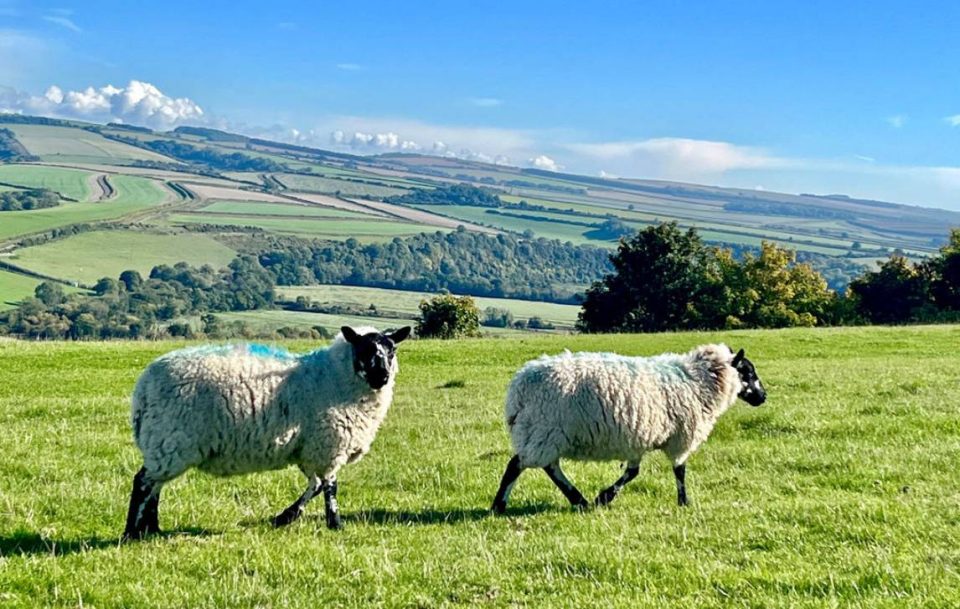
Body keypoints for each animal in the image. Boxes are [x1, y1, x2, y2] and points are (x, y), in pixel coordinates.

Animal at [123, 325, 411, 539]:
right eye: (364, 349)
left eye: (392, 350)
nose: (382, 376)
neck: (336, 377)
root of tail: (143, 388)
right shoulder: (328, 445)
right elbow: (330, 486)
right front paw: (335, 523)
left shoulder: (307, 449)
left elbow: (315, 485)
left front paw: (285, 517)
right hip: (170, 439)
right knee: (143, 483)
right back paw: (132, 533)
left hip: (165, 444)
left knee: (155, 486)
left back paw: (152, 530)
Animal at [490, 344, 766, 513]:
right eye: (748, 371)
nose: (763, 397)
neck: (700, 381)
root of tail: (519, 388)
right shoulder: (681, 437)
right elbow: (680, 471)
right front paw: (683, 502)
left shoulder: (637, 437)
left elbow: (633, 472)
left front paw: (604, 497)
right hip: (544, 429)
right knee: (518, 465)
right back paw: (499, 505)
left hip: (544, 434)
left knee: (549, 466)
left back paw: (578, 500)